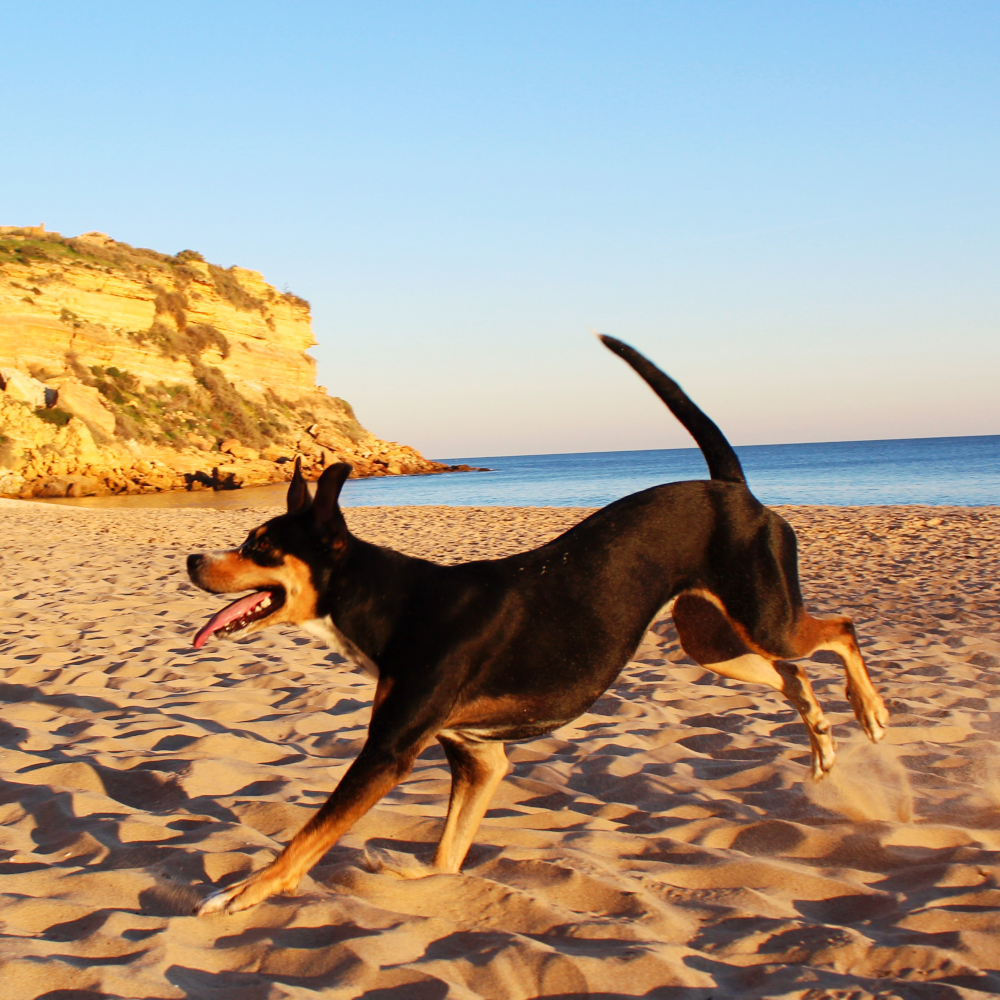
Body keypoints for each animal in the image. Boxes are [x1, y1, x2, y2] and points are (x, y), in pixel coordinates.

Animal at [184, 340, 888, 916]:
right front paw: (407, 874)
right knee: (793, 675)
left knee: (840, 629)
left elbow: (308, 837)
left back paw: (870, 711)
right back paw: (824, 742)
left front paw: (245, 893)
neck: (391, 602)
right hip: (712, 641)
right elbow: (445, 857)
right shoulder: (479, 757)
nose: (192, 560)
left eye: (260, 546)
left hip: (764, 617)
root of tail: (732, 491)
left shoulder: (389, 753)